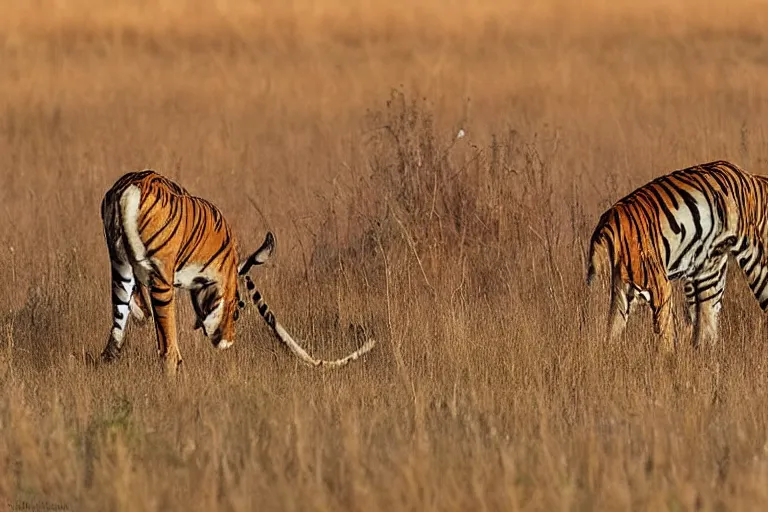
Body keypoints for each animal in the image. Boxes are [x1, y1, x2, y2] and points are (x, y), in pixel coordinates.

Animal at [100, 170, 376, 374]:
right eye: (239, 310)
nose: (227, 341)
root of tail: (133, 186)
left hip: (119, 263)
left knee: (116, 328)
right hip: (159, 276)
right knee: (165, 340)